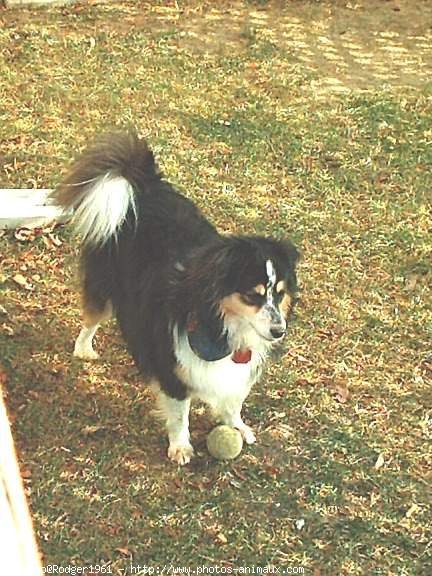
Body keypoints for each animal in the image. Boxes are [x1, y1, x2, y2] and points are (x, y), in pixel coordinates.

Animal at [54, 130, 300, 464]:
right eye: (253, 295)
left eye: (280, 293)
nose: (279, 331)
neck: (220, 323)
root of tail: (144, 183)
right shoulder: (174, 366)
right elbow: (180, 413)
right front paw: (180, 446)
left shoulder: (238, 368)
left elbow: (234, 398)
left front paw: (236, 425)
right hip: (104, 282)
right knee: (93, 316)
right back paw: (84, 349)